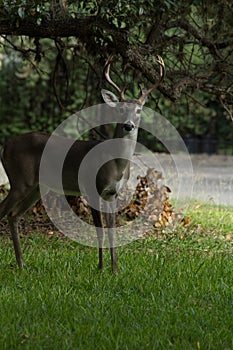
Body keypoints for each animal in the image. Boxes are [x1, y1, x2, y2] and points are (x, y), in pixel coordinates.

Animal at [0, 56, 165, 272]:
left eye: (139, 110)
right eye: (121, 109)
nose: (128, 125)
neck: (116, 164)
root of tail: (5, 146)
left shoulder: (113, 193)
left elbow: (111, 231)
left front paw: (115, 269)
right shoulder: (91, 187)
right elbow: (99, 230)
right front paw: (101, 268)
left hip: (35, 187)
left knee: (13, 215)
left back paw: (21, 263)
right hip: (20, 180)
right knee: (4, 210)